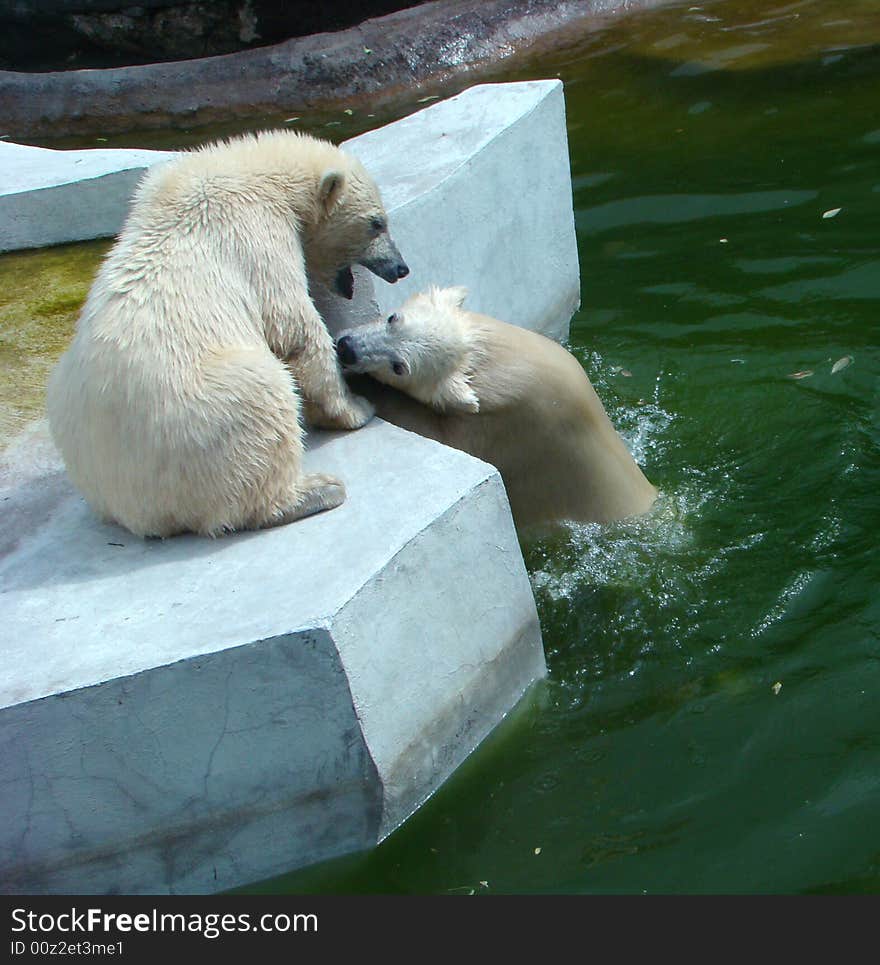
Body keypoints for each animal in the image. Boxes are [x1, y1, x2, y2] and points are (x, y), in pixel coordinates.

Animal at [45, 129, 410, 540]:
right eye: (377, 223)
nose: (400, 267)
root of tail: (137, 512)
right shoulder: (255, 233)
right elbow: (294, 328)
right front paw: (354, 408)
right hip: (204, 409)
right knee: (262, 400)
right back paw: (316, 490)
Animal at [336, 284, 652, 528]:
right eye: (393, 318)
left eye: (400, 367)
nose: (347, 348)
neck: (500, 364)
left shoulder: (504, 428)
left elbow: (436, 431)